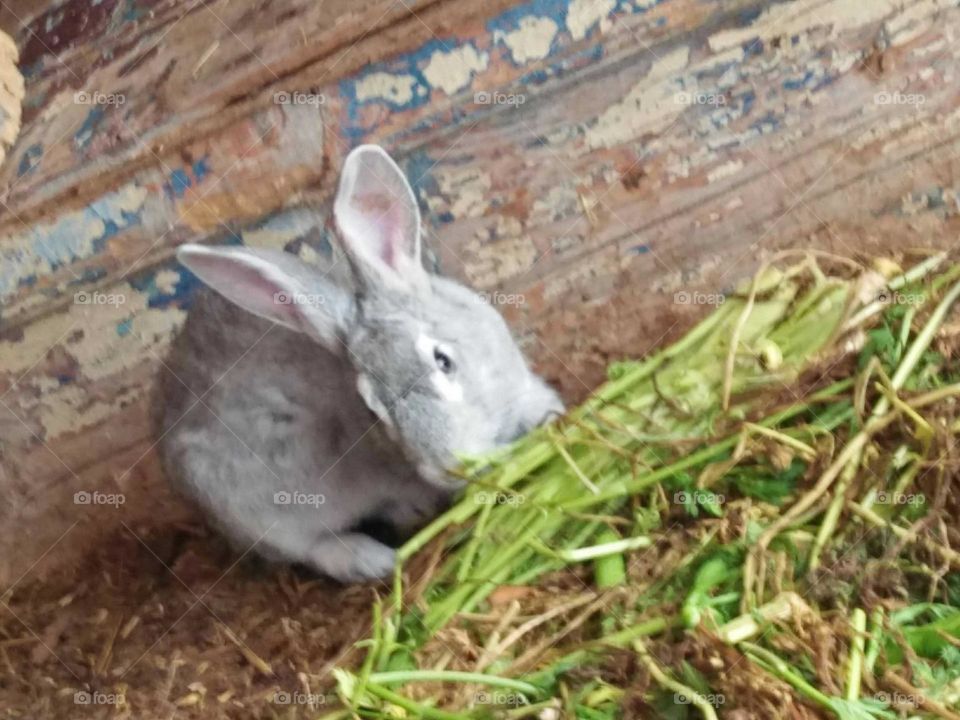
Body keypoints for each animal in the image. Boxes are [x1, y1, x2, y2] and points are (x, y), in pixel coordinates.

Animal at [158, 145, 564, 584]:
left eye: (443, 361)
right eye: (373, 410)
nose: (452, 467)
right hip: (257, 509)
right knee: (310, 547)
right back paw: (374, 557)